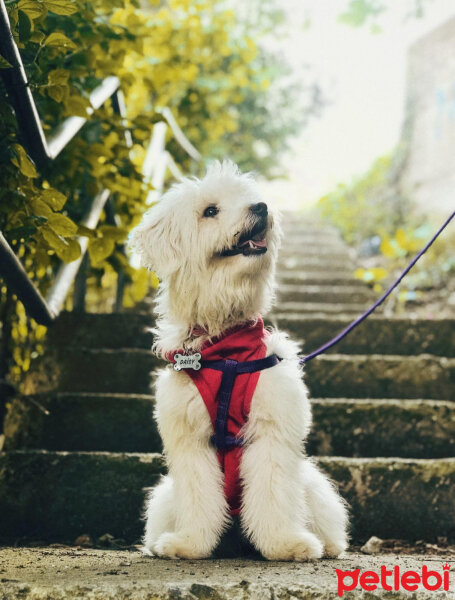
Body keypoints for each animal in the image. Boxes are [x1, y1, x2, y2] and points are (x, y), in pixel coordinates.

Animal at [128, 161, 350, 564]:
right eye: (210, 211)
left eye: (248, 197)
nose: (261, 207)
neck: (227, 350)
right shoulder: (190, 440)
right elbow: (199, 495)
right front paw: (190, 544)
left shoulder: (271, 431)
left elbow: (273, 492)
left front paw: (284, 544)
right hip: (165, 496)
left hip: (313, 484)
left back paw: (327, 545)